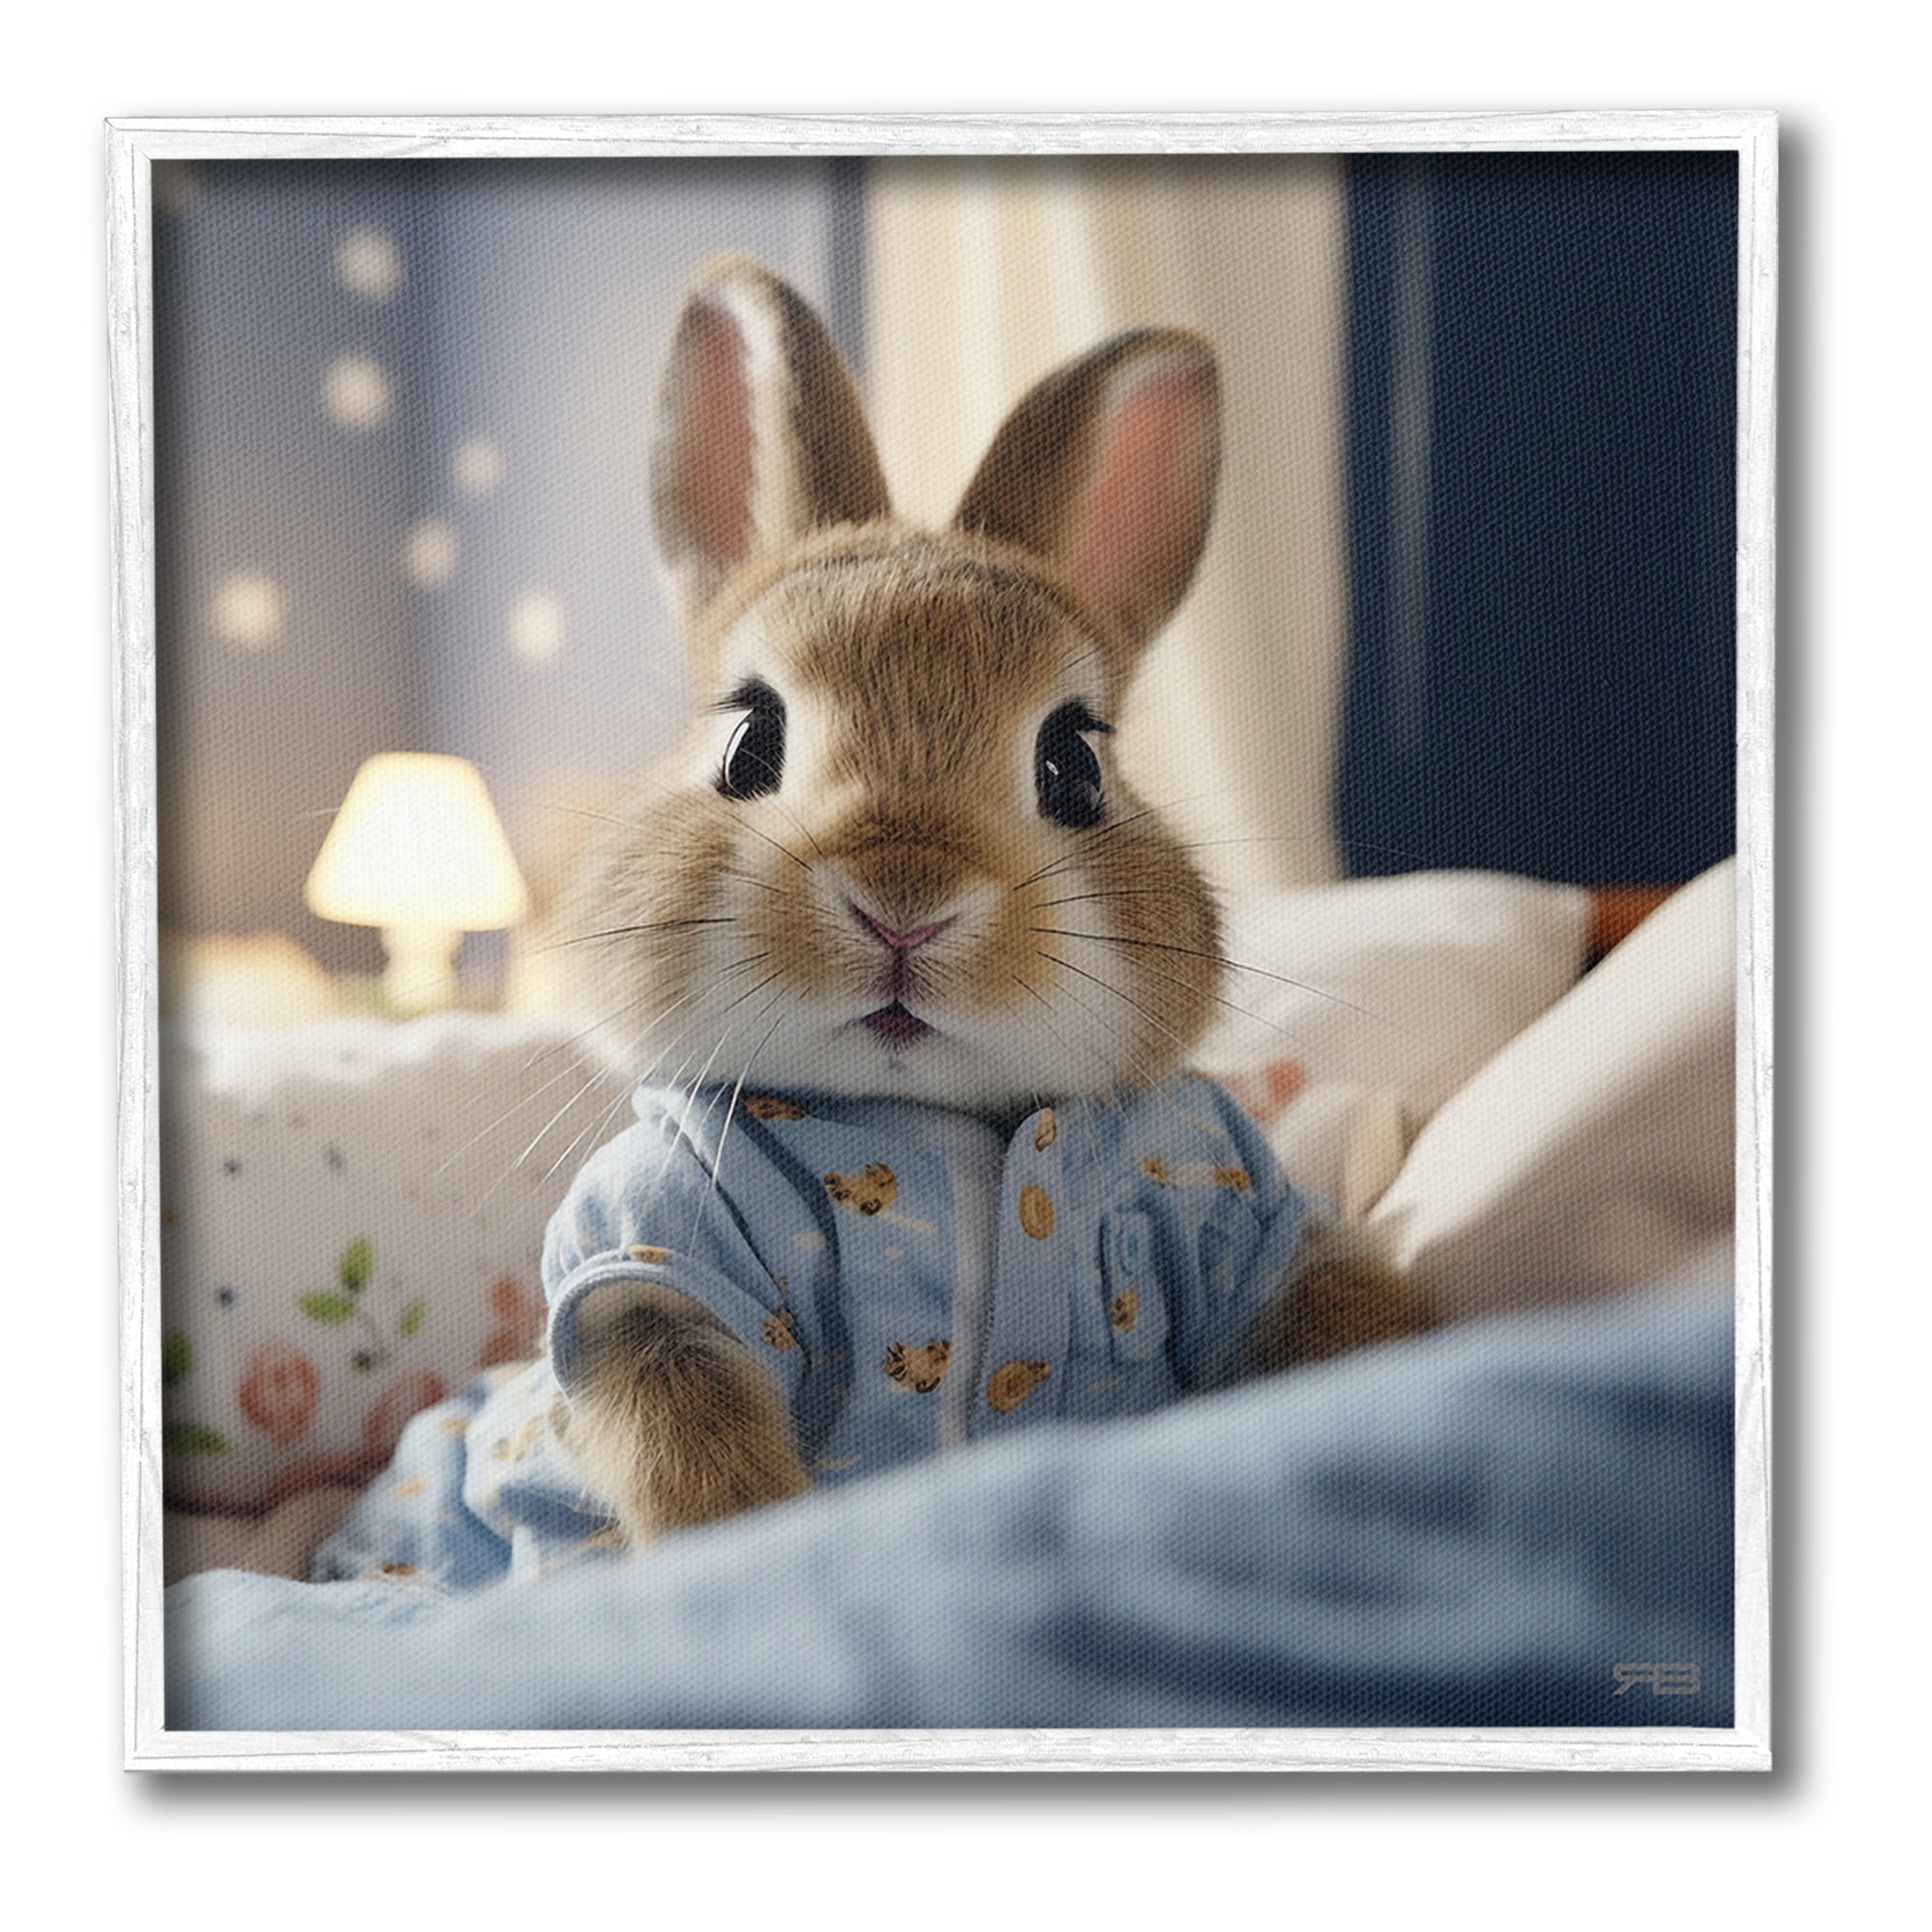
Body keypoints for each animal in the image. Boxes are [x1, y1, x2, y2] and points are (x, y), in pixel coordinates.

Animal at [545, 257, 1433, 1550]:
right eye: (749, 741)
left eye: (1073, 764)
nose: (901, 905)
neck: (943, 1125)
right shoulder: (653, 1256)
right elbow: (685, 1426)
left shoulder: (1246, 1214)